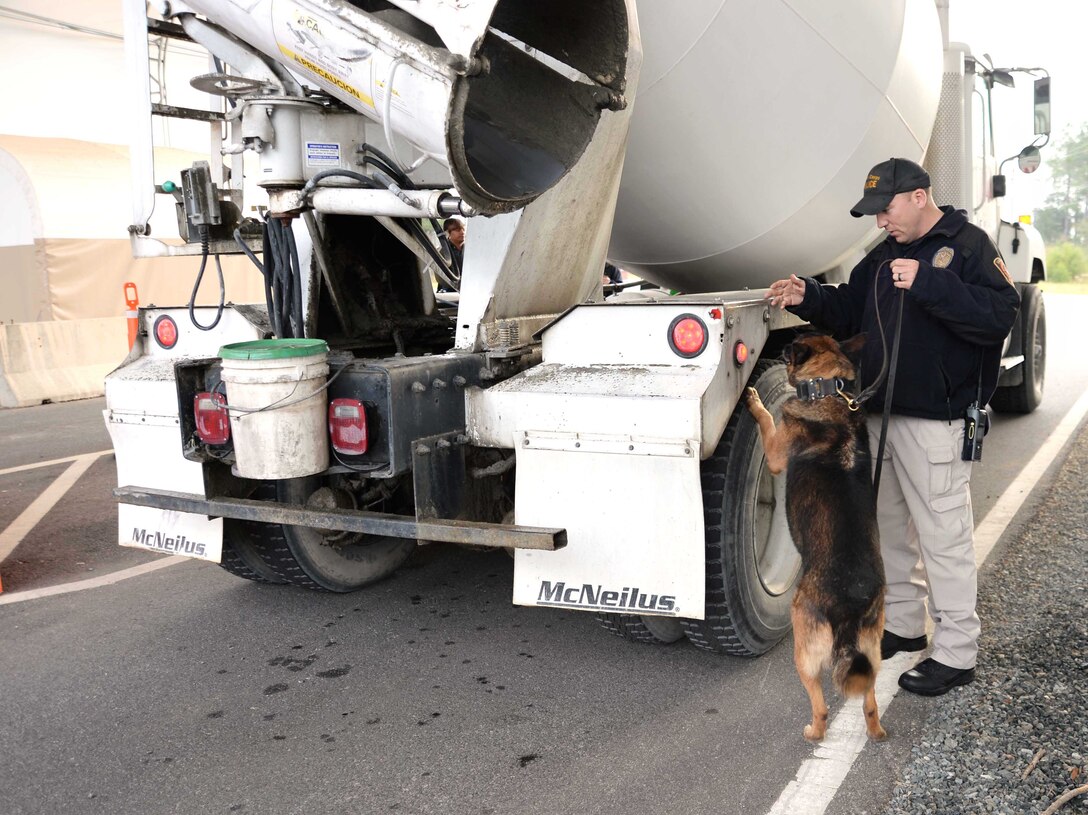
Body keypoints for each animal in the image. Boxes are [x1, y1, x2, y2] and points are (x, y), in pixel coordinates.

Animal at [744, 332, 887, 739]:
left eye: (793, 345)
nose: (782, 346)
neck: (829, 392)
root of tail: (849, 608)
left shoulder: (776, 453)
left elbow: (766, 420)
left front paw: (755, 401)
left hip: (802, 650)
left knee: (821, 705)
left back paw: (813, 730)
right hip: (872, 653)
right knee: (869, 700)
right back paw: (875, 731)